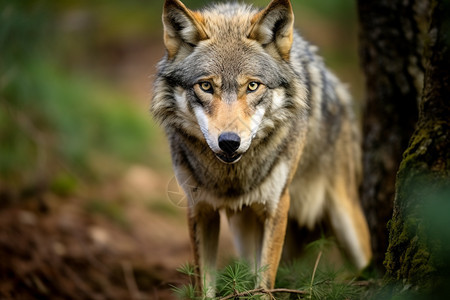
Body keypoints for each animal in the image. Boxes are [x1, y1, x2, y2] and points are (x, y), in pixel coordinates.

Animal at [152, 0, 372, 296]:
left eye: (253, 85)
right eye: (206, 86)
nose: (229, 141)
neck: (232, 178)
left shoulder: (277, 206)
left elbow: (264, 285)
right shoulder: (199, 210)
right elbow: (205, 287)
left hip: (346, 221)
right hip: (245, 232)